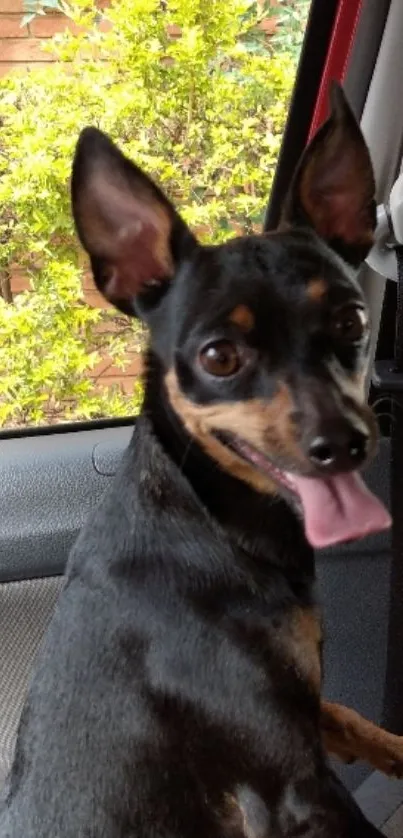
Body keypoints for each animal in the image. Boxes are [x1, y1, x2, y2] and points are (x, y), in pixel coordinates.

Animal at [1, 85, 402, 838]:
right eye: (218, 357)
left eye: (351, 322)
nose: (343, 443)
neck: (208, 521)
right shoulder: (290, 787)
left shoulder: (305, 722)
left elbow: (356, 721)